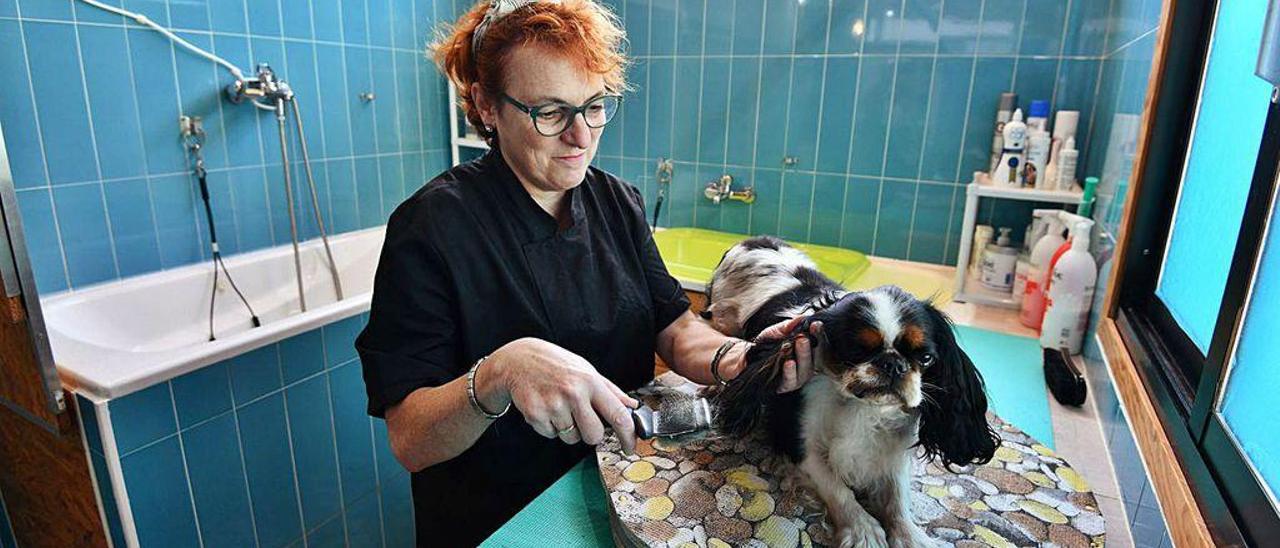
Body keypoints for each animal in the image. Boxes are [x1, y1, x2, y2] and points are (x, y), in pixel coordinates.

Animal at [706, 234, 993, 548]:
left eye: (926, 357)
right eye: (856, 351)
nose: (893, 364)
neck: (861, 406)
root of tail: (756, 239)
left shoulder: (892, 452)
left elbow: (897, 496)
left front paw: (909, 535)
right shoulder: (798, 442)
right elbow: (836, 486)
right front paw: (862, 529)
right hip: (722, 317)